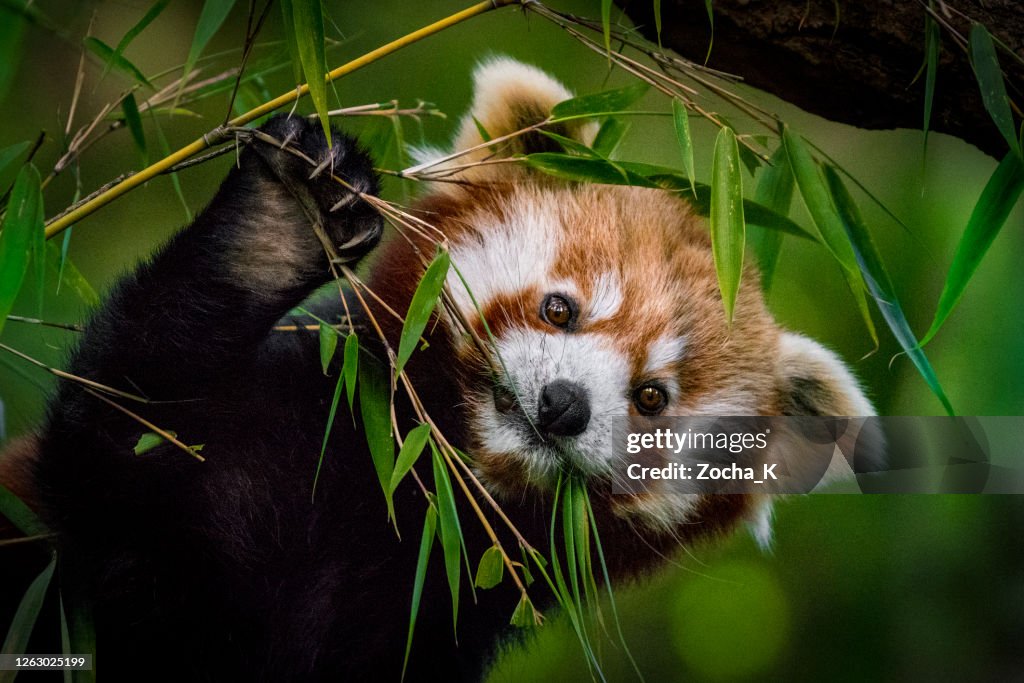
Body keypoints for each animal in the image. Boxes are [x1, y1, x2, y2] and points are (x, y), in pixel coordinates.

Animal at [1, 58, 876, 681]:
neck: (409, 492)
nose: (563, 405)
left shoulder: (431, 616)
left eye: (653, 397)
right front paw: (277, 227)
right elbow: (115, 437)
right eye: (560, 308)